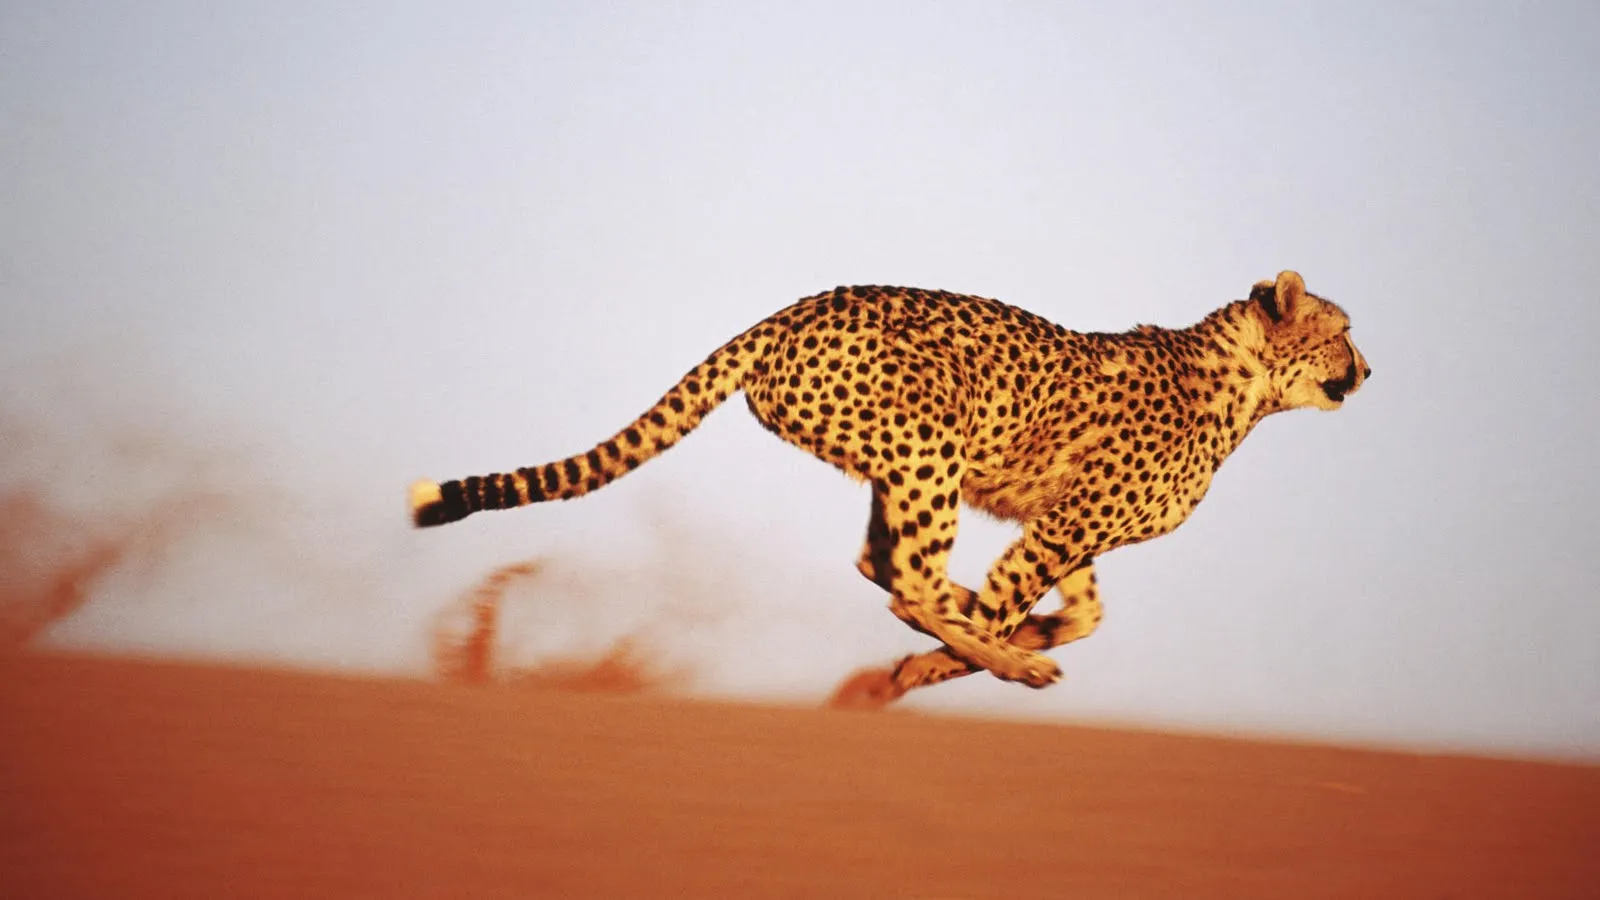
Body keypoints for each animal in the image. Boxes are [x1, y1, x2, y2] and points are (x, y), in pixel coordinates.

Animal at [409, 269, 1363, 704]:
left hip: (899, 462)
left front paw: (1020, 635)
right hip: (932, 443)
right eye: (1342, 331)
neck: (1247, 388)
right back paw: (993, 658)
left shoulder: (1066, 524)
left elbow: (1084, 613)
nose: (1368, 368)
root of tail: (791, 309)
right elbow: (1009, 604)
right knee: (904, 581)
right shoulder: (1064, 527)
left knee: (883, 565)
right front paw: (948, 664)